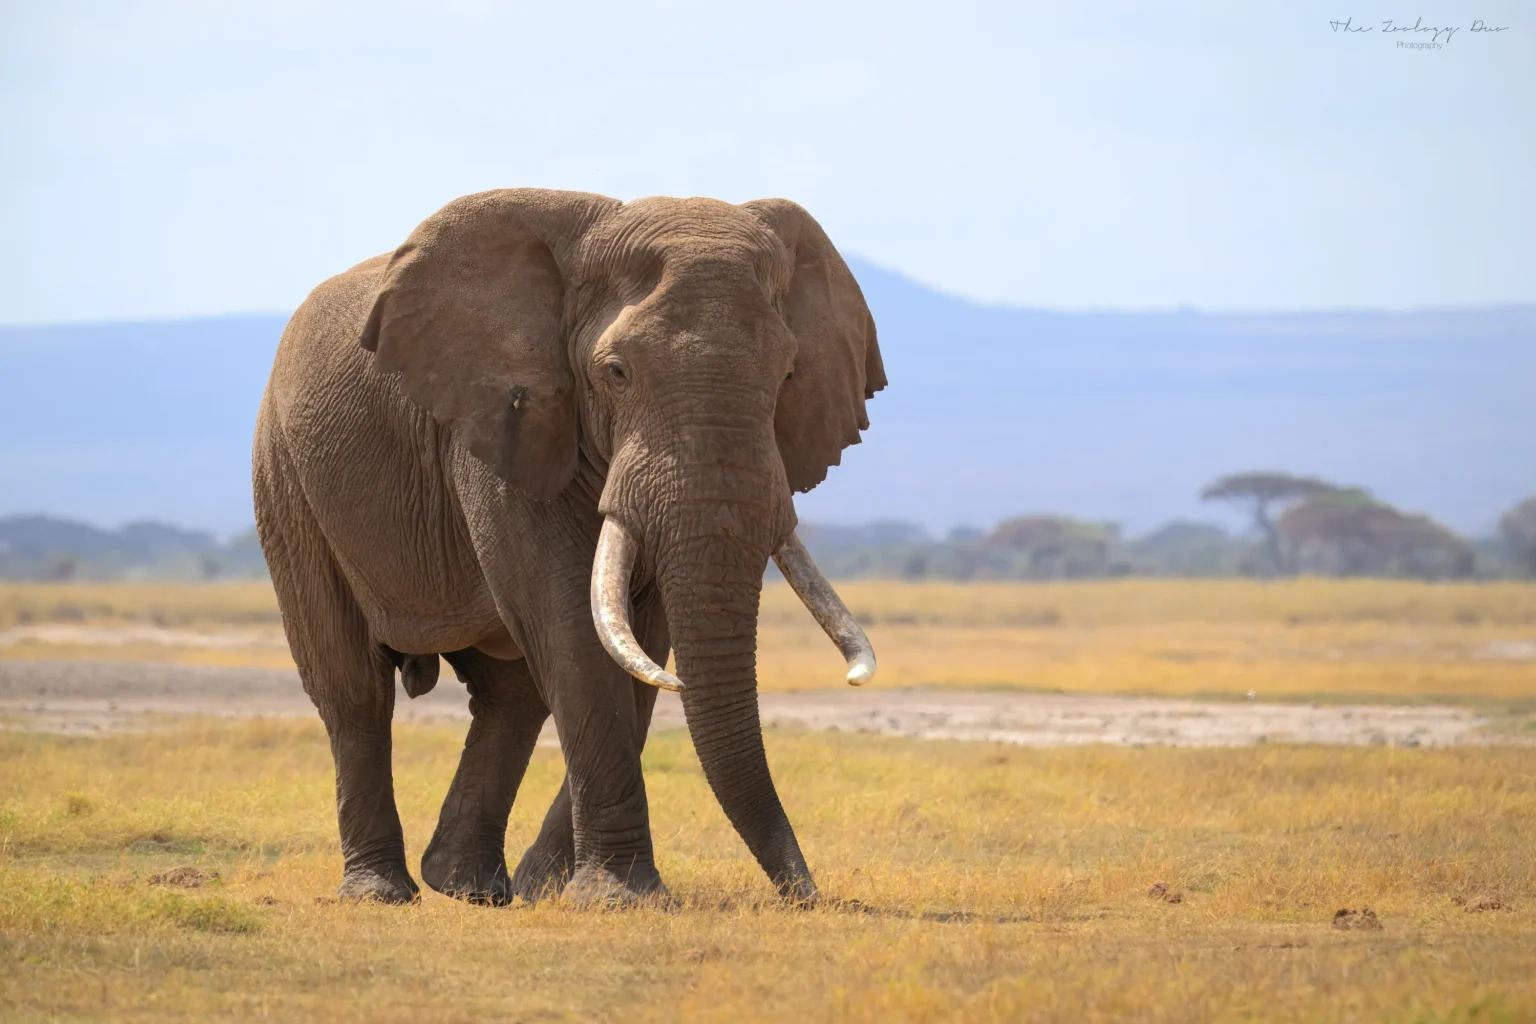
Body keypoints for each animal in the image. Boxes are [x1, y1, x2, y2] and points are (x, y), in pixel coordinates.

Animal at [252, 188, 885, 907]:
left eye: (786, 374)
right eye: (616, 372)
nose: (807, 894)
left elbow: (640, 642)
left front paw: (559, 889)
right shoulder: (505, 420)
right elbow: (575, 630)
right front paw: (618, 900)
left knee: (511, 694)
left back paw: (471, 886)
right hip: (286, 479)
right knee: (353, 687)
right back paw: (382, 892)